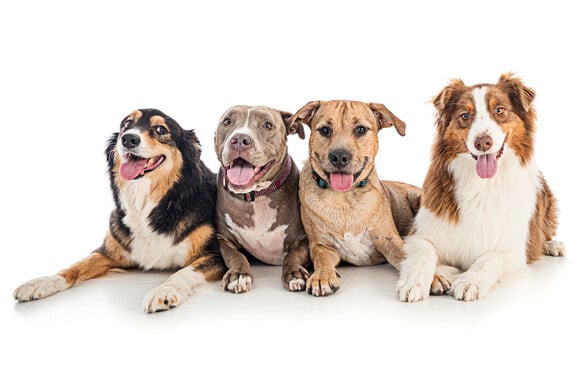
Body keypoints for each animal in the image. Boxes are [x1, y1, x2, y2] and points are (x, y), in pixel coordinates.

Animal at [14, 108, 224, 314]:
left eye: (160, 129)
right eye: (127, 124)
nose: (129, 138)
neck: (148, 203)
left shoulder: (215, 254)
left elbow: (184, 272)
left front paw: (164, 290)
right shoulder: (108, 252)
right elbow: (76, 266)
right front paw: (41, 282)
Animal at [212, 105, 308, 292]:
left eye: (267, 125)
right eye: (227, 121)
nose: (239, 139)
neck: (255, 197)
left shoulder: (304, 238)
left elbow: (293, 255)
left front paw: (294, 274)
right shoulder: (222, 239)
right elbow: (234, 255)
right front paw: (239, 275)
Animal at [290, 100, 420, 298]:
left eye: (360, 129)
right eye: (325, 130)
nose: (339, 157)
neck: (344, 199)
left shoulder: (389, 240)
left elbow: (408, 256)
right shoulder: (322, 245)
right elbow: (321, 259)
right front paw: (322, 276)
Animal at [394, 73, 564, 304]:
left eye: (499, 110)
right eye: (465, 115)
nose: (483, 142)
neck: (482, 184)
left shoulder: (512, 250)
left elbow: (489, 258)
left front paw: (469, 281)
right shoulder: (419, 235)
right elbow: (423, 254)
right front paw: (416, 282)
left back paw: (553, 245)